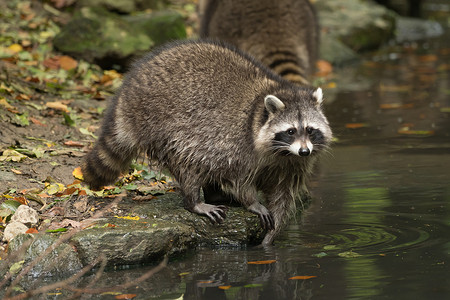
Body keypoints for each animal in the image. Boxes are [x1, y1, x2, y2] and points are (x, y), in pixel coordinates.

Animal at [82, 40, 332, 246]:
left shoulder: (292, 165)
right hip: (164, 125)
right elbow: (238, 178)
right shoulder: (237, 144)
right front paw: (251, 202)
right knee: (188, 160)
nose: (304, 151)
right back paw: (194, 200)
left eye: (310, 130)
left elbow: (283, 193)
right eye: (290, 131)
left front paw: (272, 235)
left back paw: (213, 193)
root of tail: (129, 90)